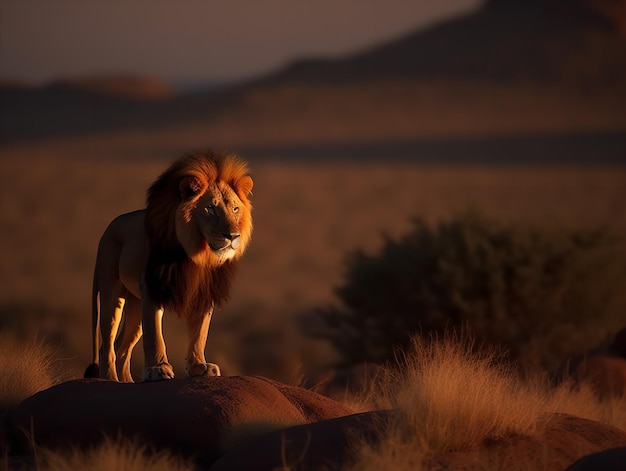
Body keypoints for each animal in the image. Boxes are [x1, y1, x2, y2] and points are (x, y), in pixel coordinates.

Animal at [83, 151, 254, 384]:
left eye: (235, 209)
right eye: (211, 209)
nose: (233, 236)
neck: (197, 252)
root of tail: (108, 228)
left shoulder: (203, 290)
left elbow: (200, 332)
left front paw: (199, 367)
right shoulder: (153, 285)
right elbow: (155, 335)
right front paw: (158, 369)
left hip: (136, 305)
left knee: (122, 348)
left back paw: (127, 381)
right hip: (111, 293)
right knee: (106, 345)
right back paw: (111, 380)